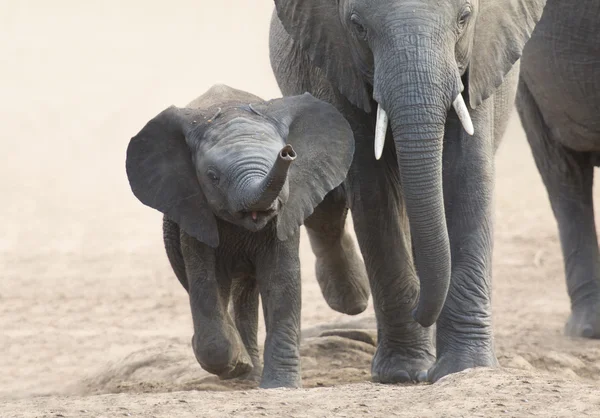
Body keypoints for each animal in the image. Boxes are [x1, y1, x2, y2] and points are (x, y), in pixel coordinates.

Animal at [124, 85, 354, 388]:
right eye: (213, 177)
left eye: (289, 164)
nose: (287, 153)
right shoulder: (195, 215)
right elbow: (206, 280)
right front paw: (238, 363)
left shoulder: (284, 216)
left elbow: (281, 282)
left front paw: (280, 386)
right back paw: (244, 372)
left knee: (246, 294)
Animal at [270, 0, 548, 382]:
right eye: (358, 27)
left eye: (464, 19)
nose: (421, 310)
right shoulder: (340, 69)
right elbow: (374, 192)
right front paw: (404, 372)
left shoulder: (478, 64)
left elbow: (467, 178)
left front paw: (465, 367)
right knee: (328, 203)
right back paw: (353, 298)